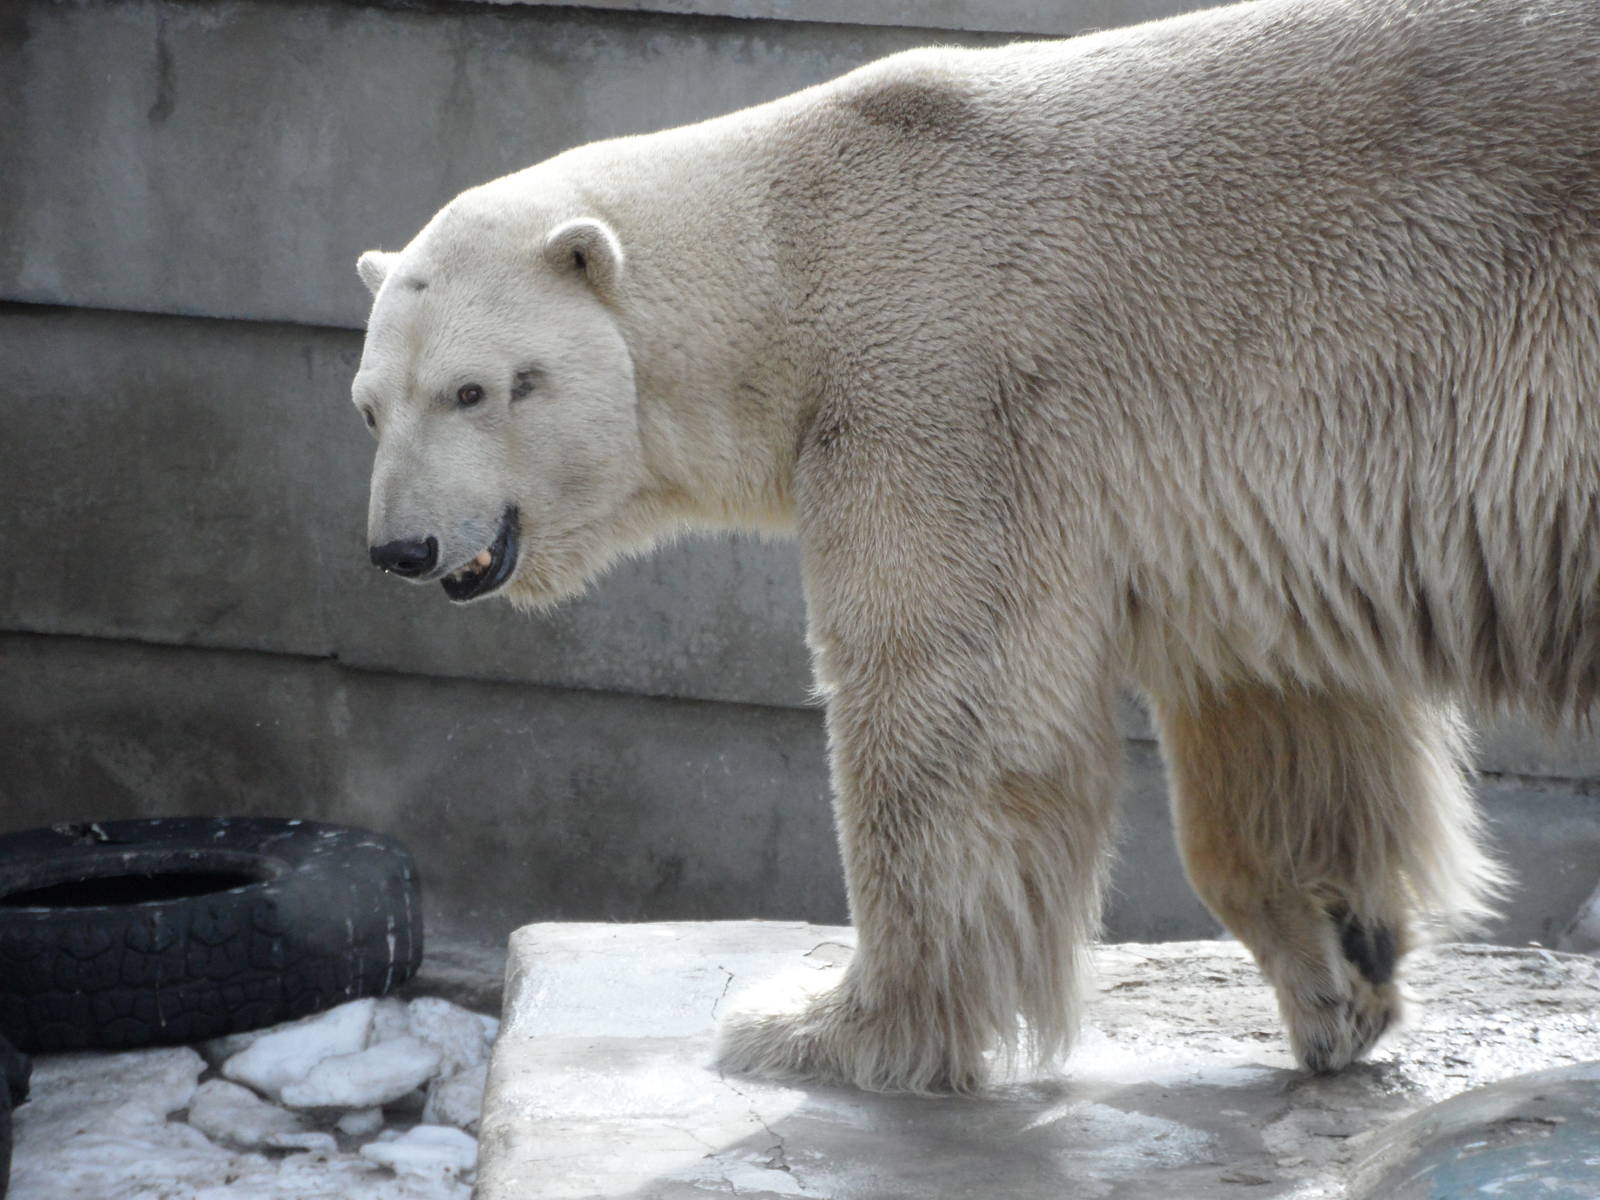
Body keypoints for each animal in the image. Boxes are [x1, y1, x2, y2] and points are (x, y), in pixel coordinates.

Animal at [351, 0, 1600, 1094]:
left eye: (475, 389)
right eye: (369, 407)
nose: (402, 547)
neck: (796, 247)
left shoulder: (941, 387)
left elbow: (953, 713)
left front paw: (822, 1029)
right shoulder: (1233, 505)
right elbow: (1280, 711)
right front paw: (1340, 968)